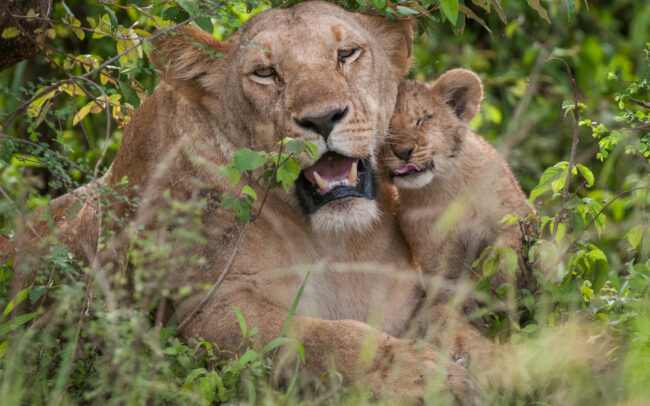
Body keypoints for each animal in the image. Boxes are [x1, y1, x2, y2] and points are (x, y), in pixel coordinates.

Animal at [3, 3, 488, 403]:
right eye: (265, 73)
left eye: (347, 54)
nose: (322, 119)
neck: (333, 242)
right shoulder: (202, 311)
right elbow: (322, 339)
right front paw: (427, 379)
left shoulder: (408, 298)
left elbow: (457, 326)